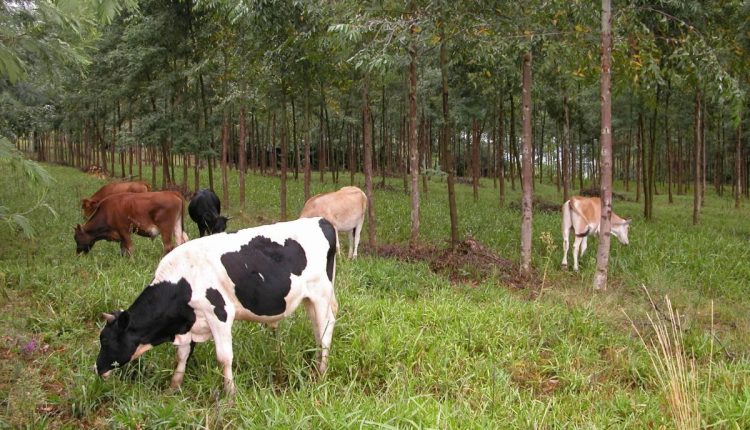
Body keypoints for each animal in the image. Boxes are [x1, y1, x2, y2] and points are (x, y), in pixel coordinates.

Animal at [95, 218, 340, 396]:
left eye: (105, 340)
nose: (97, 368)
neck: (183, 281)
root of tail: (321, 220)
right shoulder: (189, 323)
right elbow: (181, 355)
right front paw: (174, 386)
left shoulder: (219, 314)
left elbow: (224, 357)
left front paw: (230, 394)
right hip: (308, 299)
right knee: (318, 331)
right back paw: (316, 363)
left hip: (321, 294)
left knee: (326, 328)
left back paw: (321, 371)